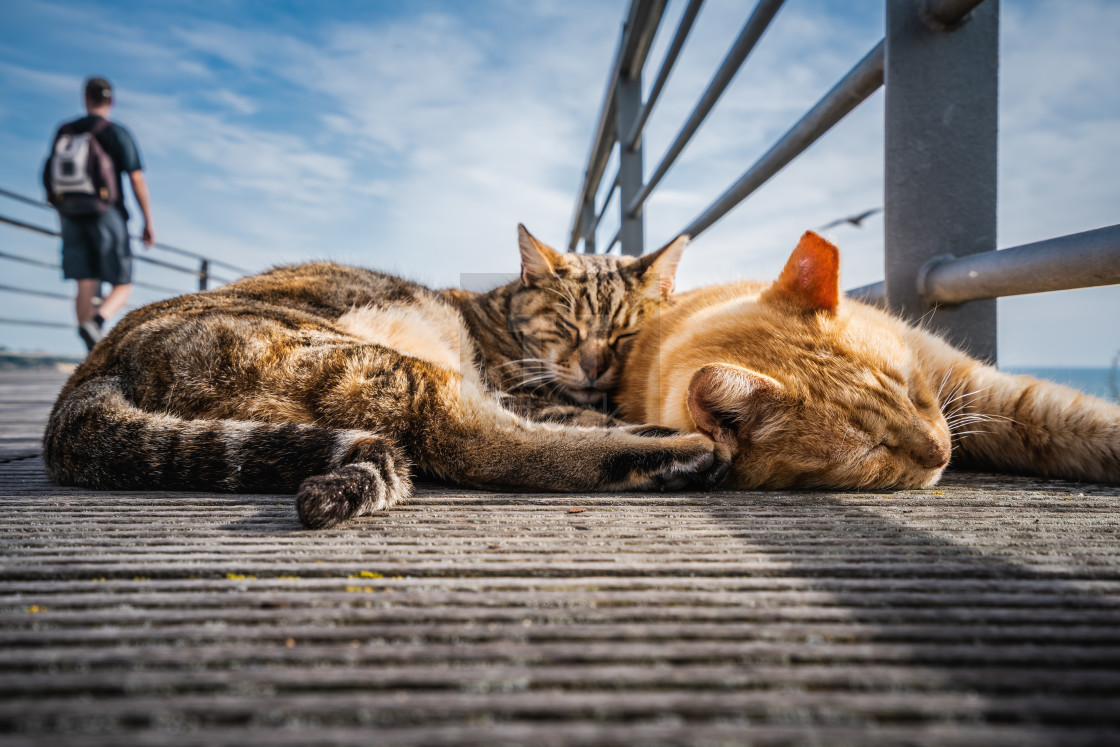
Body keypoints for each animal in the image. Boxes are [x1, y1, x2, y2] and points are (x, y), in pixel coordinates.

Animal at [45, 225, 725, 528]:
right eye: (566, 324)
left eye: (625, 334)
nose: (593, 365)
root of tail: (84, 381)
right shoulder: (527, 394)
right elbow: (566, 412)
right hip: (362, 358)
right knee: (469, 438)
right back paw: (674, 451)